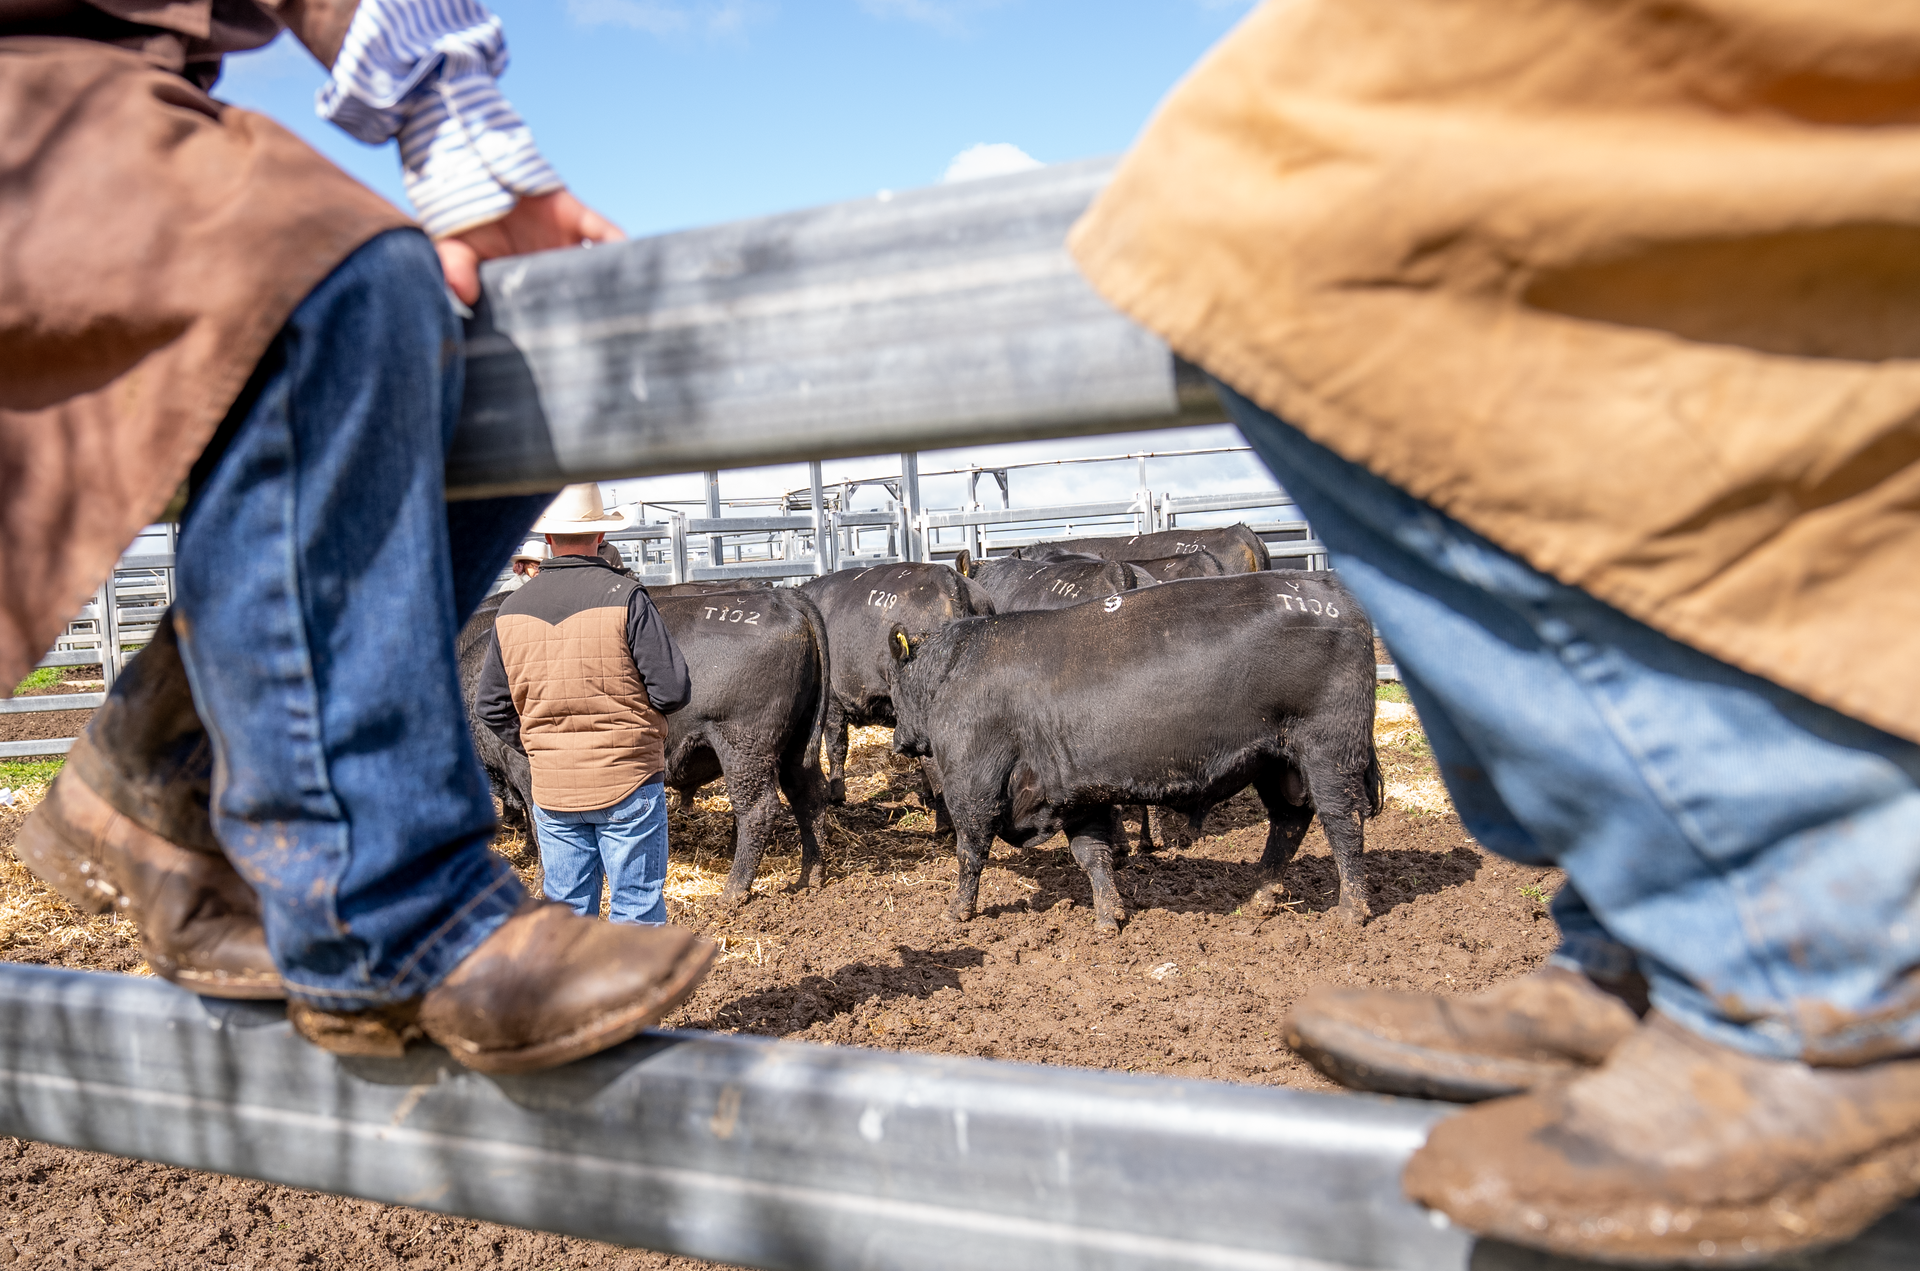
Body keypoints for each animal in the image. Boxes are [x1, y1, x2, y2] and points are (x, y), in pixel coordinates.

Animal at [460, 587, 833, 905]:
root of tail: (783, 597)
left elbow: (541, 830)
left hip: (743, 748)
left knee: (758, 809)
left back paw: (732, 892)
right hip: (795, 747)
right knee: (808, 796)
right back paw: (809, 878)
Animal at [883, 572, 1381, 933]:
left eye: (894, 684)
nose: (898, 739)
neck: (953, 669)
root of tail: (1330, 590)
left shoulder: (973, 783)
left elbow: (970, 850)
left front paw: (956, 912)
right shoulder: (1076, 791)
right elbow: (1092, 854)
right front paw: (1110, 917)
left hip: (1329, 752)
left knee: (1343, 822)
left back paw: (1351, 910)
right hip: (1276, 763)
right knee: (1289, 821)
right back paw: (1261, 897)